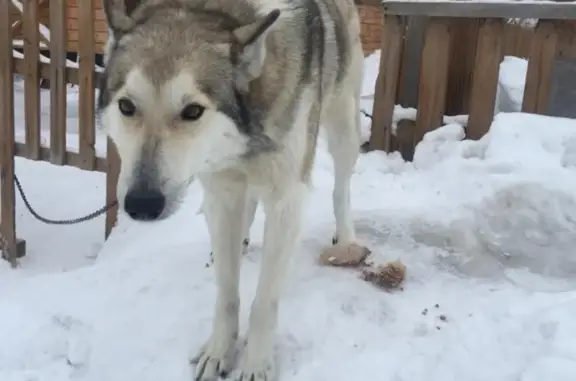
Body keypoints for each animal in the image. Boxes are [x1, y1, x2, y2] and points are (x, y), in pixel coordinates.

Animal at [98, 1, 368, 378]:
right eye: (126, 106)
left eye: (192, 111)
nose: (142, 204)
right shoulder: (222, 190)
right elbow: (226, 293)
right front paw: (218, 352)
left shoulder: (286, 199)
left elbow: (264, 301)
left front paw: (255, 364)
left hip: (344, 127)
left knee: (341, 188)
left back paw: (346, 240)